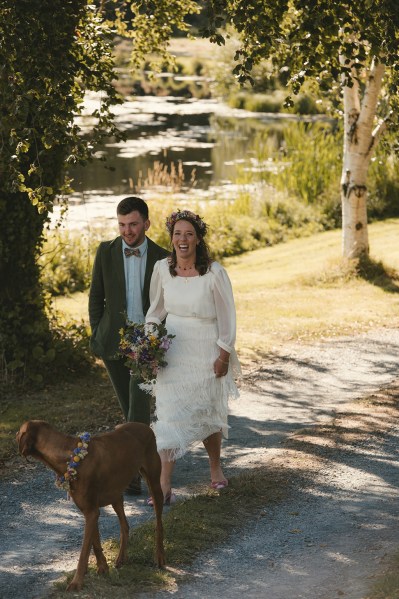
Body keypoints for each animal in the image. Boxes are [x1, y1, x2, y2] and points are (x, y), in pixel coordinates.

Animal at [16, 420, 166, 592]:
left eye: (18, 432)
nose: (15, 435)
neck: (69, 456)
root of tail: (145, 426)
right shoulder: (89, 510)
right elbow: (95, 542)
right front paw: (103, 567)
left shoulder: (91, 511)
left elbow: (84, 551)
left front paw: (76, 582)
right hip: (116, 494)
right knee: (125, 525)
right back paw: (121, 557)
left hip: (154, 484)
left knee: (159, 524)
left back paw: (159, 556)